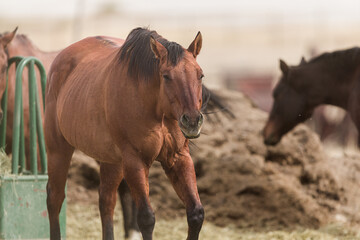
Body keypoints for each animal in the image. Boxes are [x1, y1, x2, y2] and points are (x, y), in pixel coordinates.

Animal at [45, 27, 208, 239]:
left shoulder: (179, 157)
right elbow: (146, 218)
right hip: (58, 149)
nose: (193, 121)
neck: (156, 108)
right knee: (55, 198)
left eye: (200, 75)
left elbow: (195, 213)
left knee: (106, 201)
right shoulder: (135, 161)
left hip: (111, 161)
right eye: (166, 76)